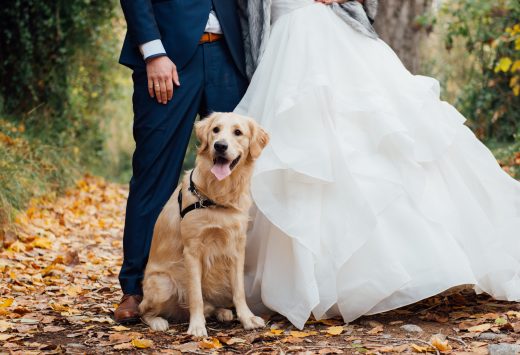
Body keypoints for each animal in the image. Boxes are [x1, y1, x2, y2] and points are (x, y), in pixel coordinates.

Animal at [139, 112, 268, 336]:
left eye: (238, 132)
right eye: (215, 130)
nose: (220, 146)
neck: (218, 197)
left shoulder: (237, 248)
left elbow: (239, 291)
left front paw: (247, 318)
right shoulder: (192, 250)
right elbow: (195, 295)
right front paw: (197, 326)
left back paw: (222, 312)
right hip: (162, 283)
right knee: (144, 311)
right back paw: (158, 321)